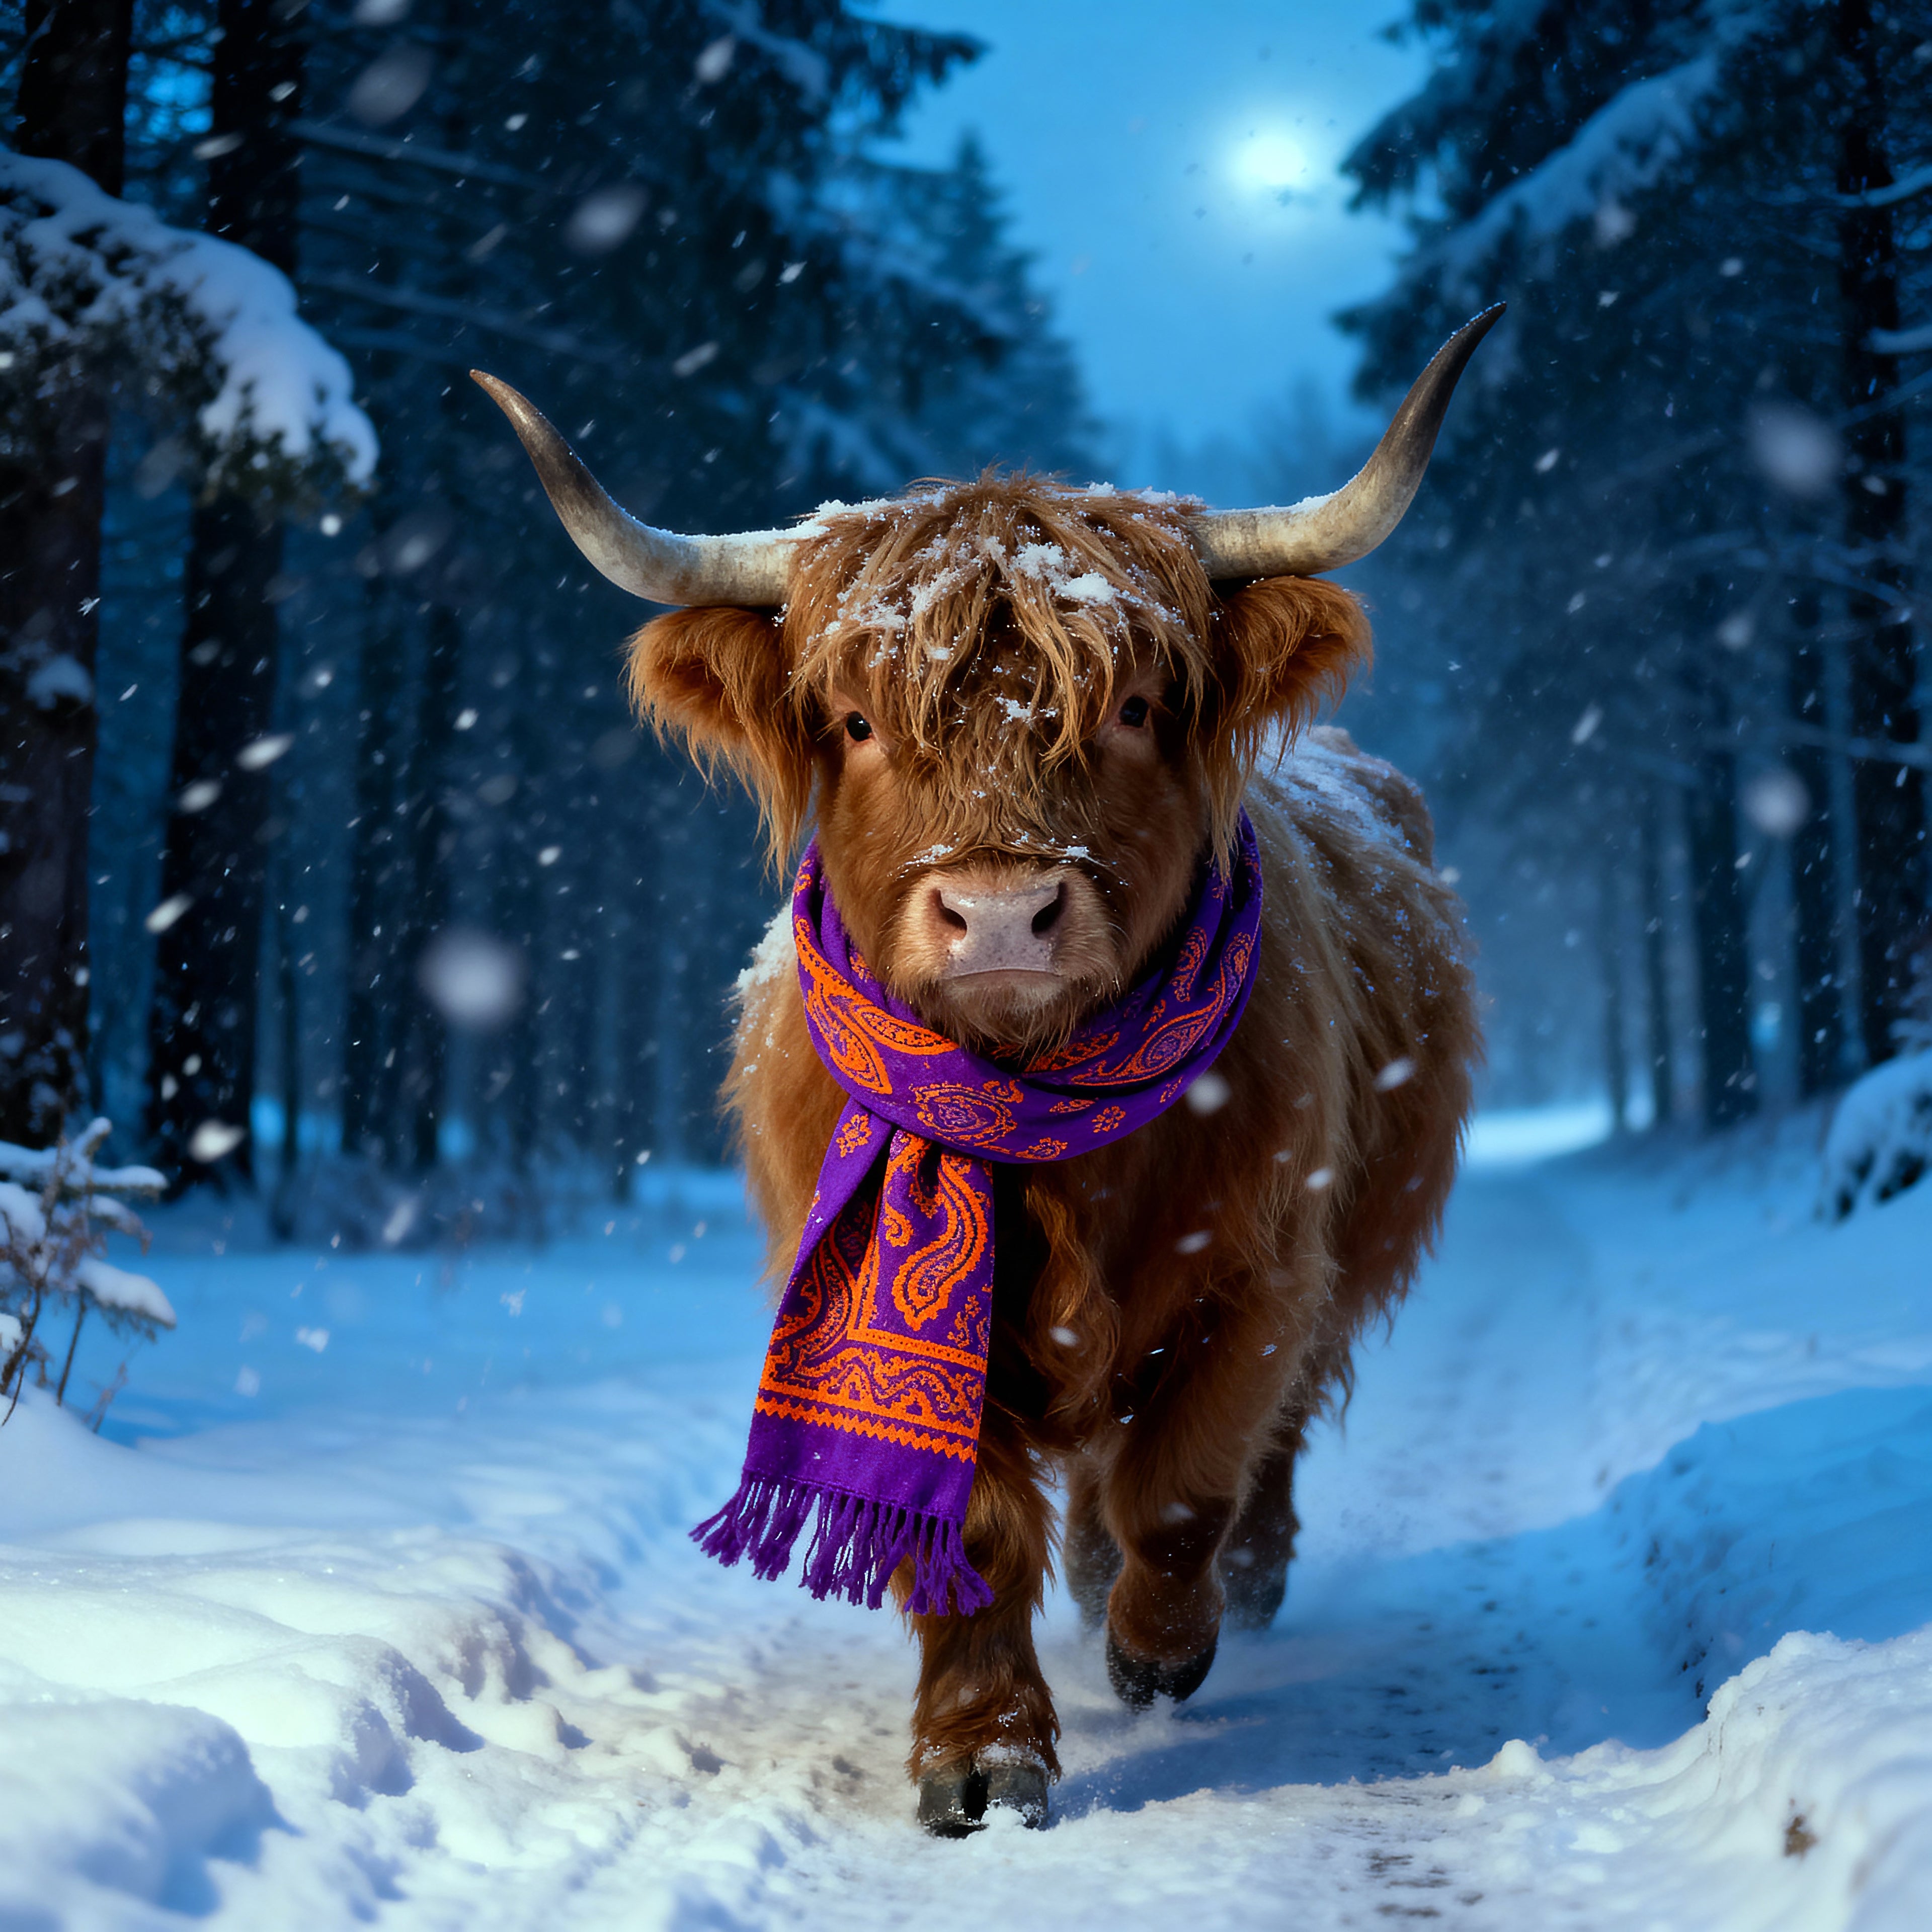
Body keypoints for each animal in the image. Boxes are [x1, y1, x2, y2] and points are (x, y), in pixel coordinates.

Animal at [474, 305, 1494, 1837]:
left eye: (1132, 707)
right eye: (854, 724)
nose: (1003, 913)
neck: (1030, 1110)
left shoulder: (1262, 1269)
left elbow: (1184, 1480)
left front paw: (1157, 1647)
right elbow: (972, 1529)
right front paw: (982, 1752)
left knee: (1260, 1444)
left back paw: (1232, 1588)